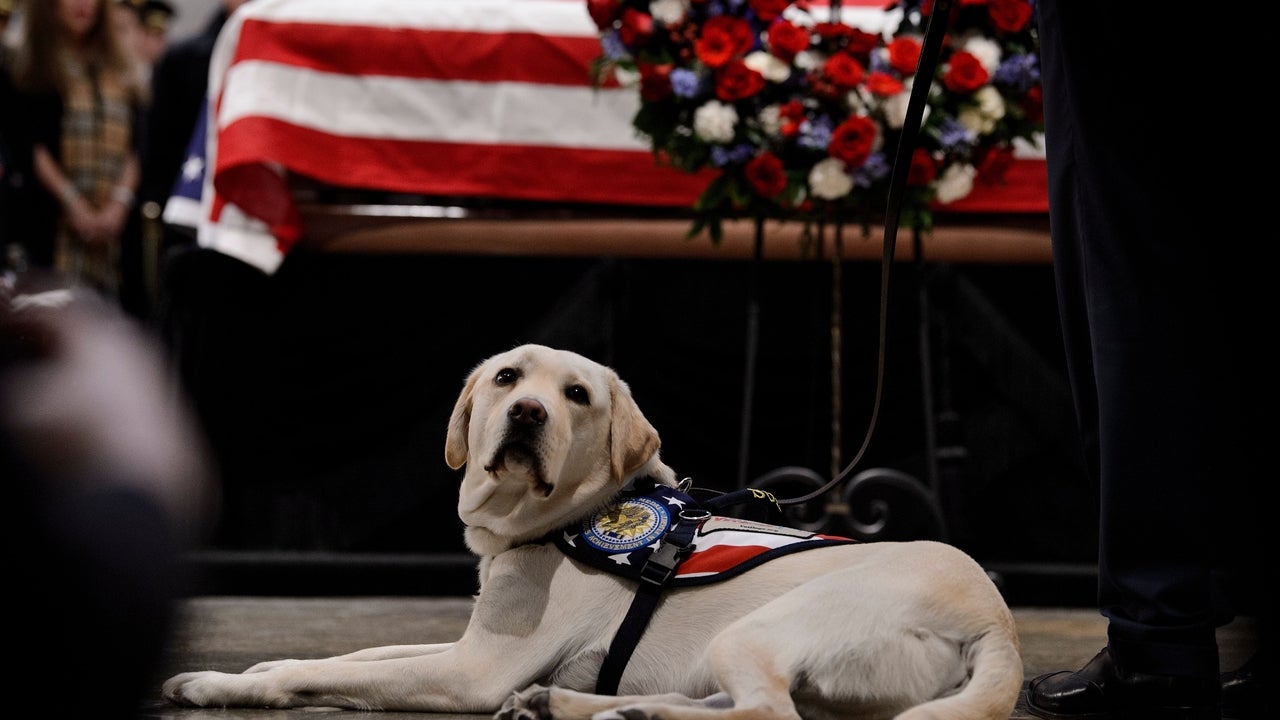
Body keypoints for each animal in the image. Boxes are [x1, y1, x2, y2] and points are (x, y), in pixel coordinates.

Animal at [162, 343, 1018, 717]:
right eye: (507, 378)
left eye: (576, 394)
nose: (527, 413)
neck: (560, 520)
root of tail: (996, 621)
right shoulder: (470, 641)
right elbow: (354, 653)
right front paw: (262, 662)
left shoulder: (473, 670)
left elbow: (338, 671)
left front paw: (223, 684)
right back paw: (590, 706)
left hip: (758, 629)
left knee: (769, 715)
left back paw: (602, 709)